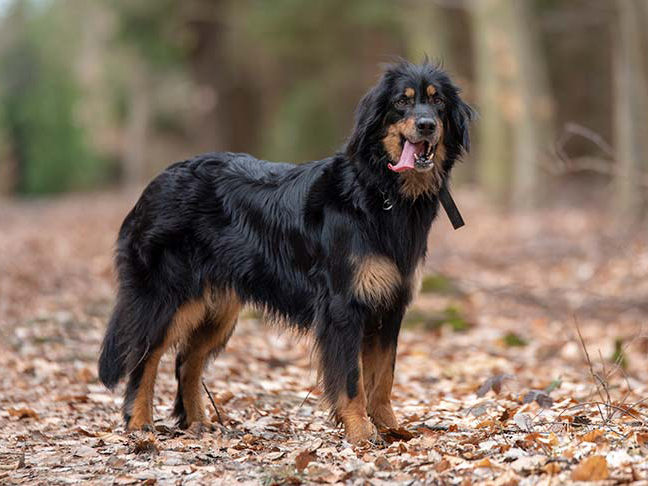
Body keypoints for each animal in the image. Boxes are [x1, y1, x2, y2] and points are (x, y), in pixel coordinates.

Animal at [100, 58, 476, 442]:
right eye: (402, 101)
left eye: (438, 101)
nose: (427, 125)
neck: (378, 190)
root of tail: (154, 184)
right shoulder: (343, 306)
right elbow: (352, 379)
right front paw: (360, 431)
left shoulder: (389, 304)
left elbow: (384, 376)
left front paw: (391, 428)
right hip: (167, 296)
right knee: (144, 357)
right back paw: (140, 424)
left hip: (218, 308)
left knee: (186, 361)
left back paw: (199, 424)